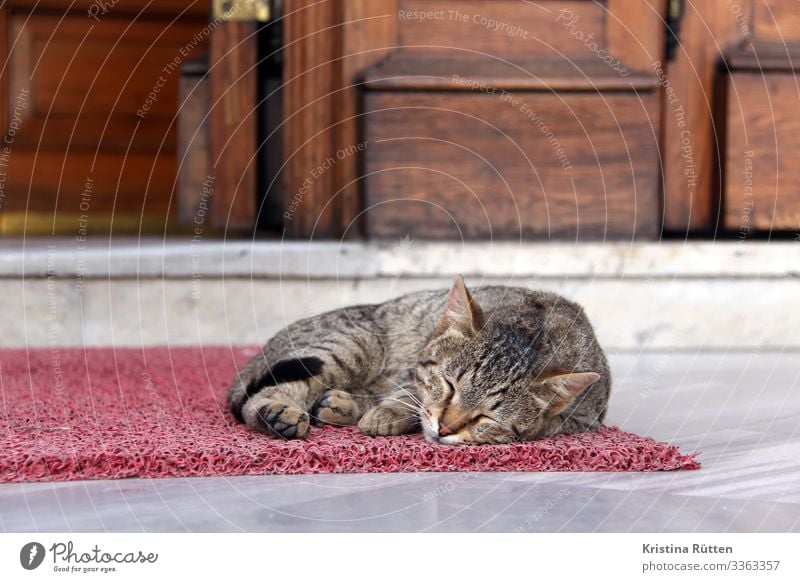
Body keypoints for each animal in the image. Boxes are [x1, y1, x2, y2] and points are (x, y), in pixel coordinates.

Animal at [228, 278, 608, 448]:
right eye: (450, 385)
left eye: (486, 416)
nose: (446, 427)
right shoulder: (409, 369)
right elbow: (410, 390)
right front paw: (390, 412)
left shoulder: (584, 420)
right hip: (350, 344)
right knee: (259, 397)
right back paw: (280, 413)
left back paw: (338, 406)